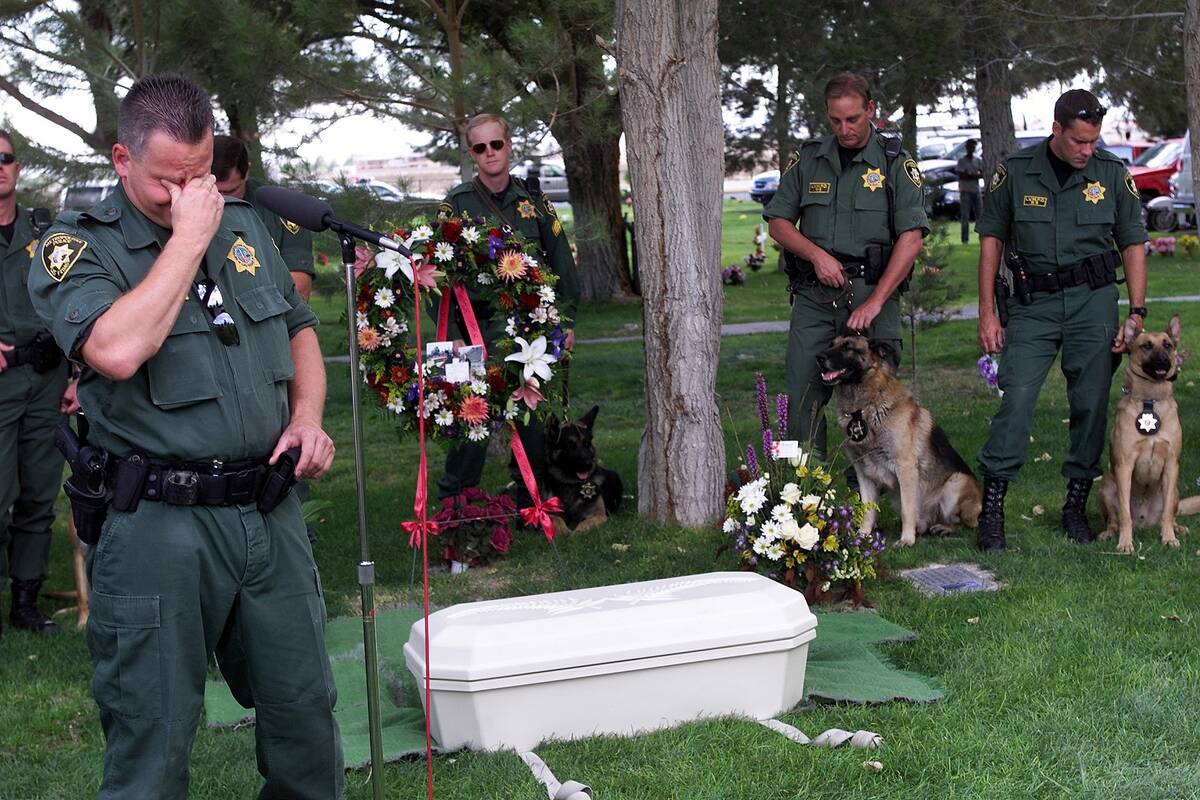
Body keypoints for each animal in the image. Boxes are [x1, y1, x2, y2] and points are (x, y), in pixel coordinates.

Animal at [820, 335, 979, 546]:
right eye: (831, 345)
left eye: (848, 347)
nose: (819, 357)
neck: (865, 408)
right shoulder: (863, 472)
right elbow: (867, 509)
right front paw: (862, 536)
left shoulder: (905, 468)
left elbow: (907, 509)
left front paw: (906, 540)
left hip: (956, 482)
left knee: (963, 524)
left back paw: (943, 528)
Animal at [1099, 316, 1200, 554]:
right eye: (1146, 346)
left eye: (1168, 345)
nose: (1164, 360)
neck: (1150, 402)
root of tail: (1144, 523)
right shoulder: (1124, 466)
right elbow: (1124, 514)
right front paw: (1125, 543)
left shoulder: (1172, 464)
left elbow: (1167, 515)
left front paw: (1169, 539)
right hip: (1106, 487)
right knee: (1113, 519)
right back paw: (1109, 533)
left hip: (1175, 491)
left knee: (1170, 514)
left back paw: (1177, 528)